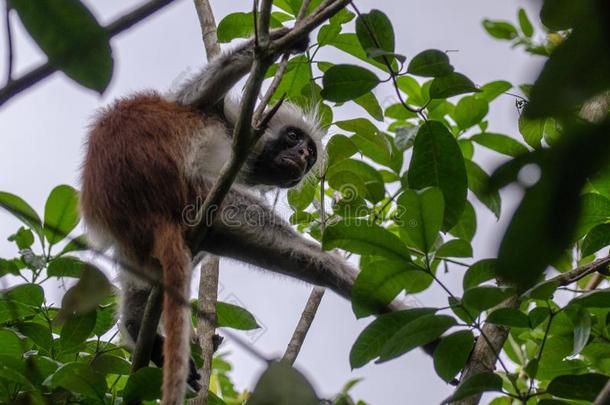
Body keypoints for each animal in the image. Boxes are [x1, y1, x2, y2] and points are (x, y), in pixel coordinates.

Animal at [79, 32, 366, 404]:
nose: (303, 155)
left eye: (310, 153)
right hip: (202, 196)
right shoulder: (228, 116)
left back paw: (138, 327)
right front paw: (279, 40)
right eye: (293, 137)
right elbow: (196, 94)